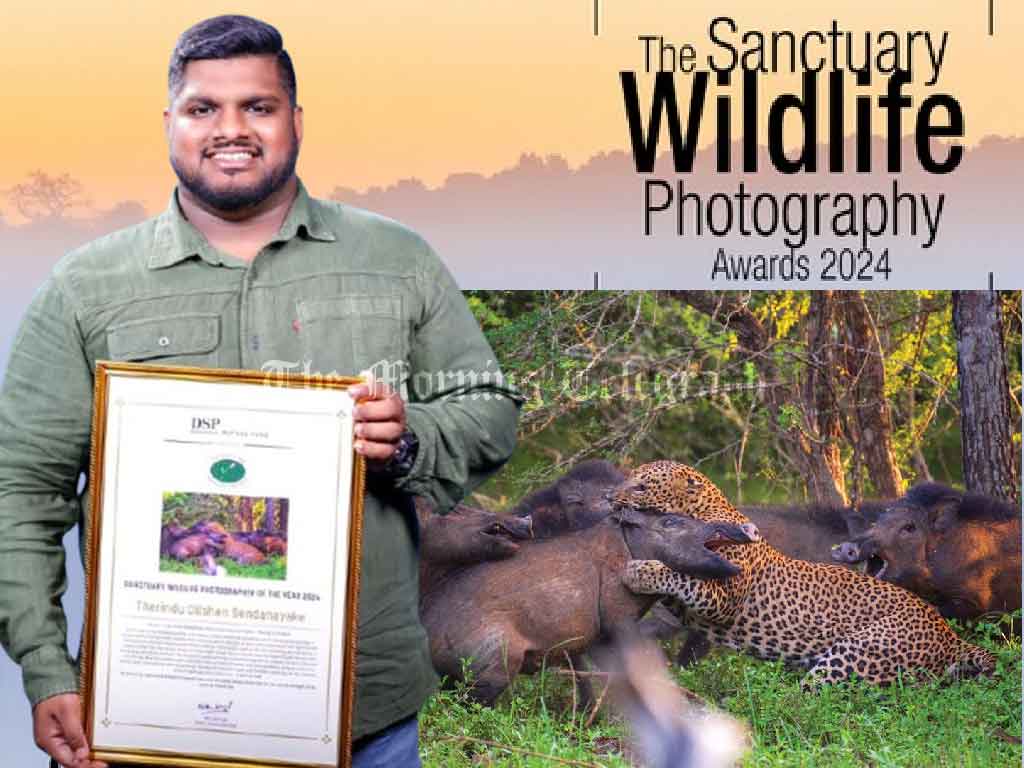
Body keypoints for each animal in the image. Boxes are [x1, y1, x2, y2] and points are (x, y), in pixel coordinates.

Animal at [610, 460, 995, 688]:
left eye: (641, 485)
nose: (610, 494)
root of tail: (948, 635)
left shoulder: (723, 598)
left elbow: (680, 576)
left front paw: (638, 570)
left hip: (855, 654)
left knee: (810, 697)